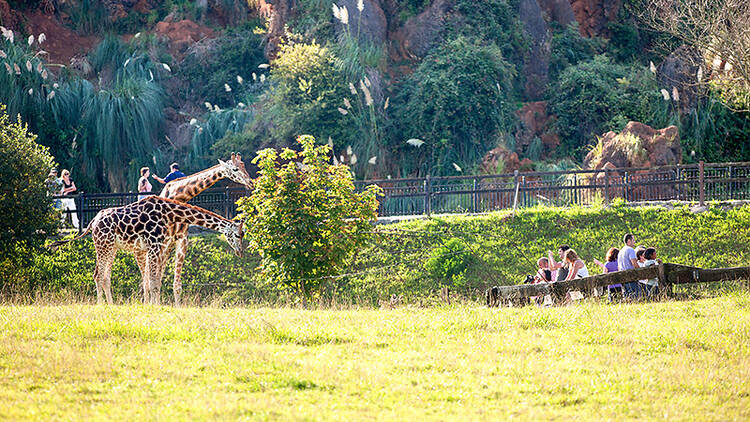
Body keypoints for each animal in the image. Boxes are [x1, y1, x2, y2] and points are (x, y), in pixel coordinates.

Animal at [50, 196, 244, 304]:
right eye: (238, 235)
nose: (240, 252)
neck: (170, 214)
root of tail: (93, 222)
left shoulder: (158, 247)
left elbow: (155, 282)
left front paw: (154, 306)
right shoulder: (154, 245)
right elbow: (153, 283)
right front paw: (155, 308)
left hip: (111, 247)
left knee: (104, 276)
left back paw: (111, 305)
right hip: (103, 245)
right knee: (98, 275)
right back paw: (100, 305)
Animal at [159, 153, 253, 304]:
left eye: (243, 165)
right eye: (235, 169)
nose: (251, 182)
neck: (179, 196)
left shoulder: (182, 239)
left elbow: (177, 285)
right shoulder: (165, 240)